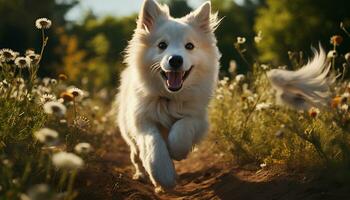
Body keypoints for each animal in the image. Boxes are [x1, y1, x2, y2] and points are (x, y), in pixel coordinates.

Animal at [116, 0, 220, 192]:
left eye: (189, 46)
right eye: (162, 45)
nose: (175, 60)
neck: (169, 98)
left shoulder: (198, 118)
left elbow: (181, 130)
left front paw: (176, 152)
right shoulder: (142, 121)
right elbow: (153, 146)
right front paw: (164, 176)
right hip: (129, 135)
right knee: (136, 157)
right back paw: (142, 176)